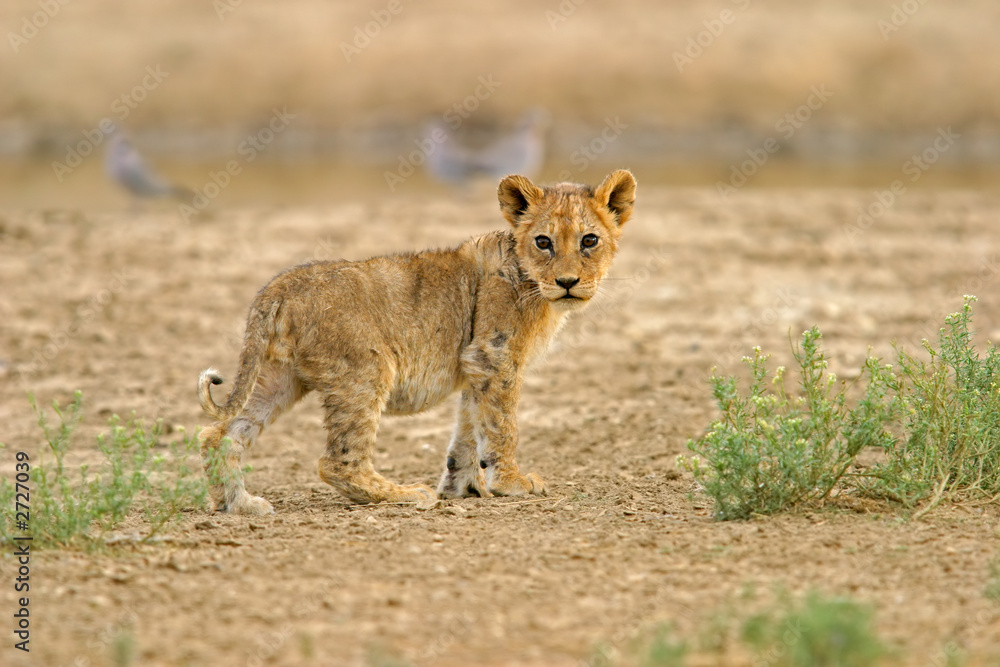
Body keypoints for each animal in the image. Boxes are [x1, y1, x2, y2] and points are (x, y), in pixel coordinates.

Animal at [198, 169, 636, 515]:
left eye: (589, 241)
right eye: (543, 242)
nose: (567, 282)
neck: (531, 284)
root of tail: (280, 285)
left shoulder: (476, 364)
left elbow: (468, 428)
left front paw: (463, 487)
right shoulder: (494, 355)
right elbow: (501, 424)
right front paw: (510, 482)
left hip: (280, 376)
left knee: (220, 435)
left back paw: (237, 504)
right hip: (365, 370)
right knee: (336, 461)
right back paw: (404, 494)